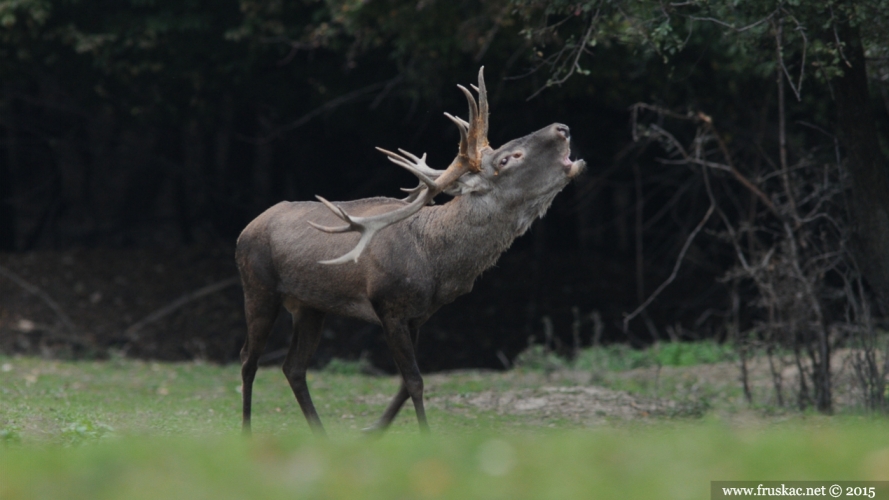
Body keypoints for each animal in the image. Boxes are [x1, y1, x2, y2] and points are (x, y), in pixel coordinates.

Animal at [232, 68, 588, 436]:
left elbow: (405, 384)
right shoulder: (389, 307)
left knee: (293, 367)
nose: (562, 127)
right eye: (507, 158)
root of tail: (245, 229)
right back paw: (245, 430)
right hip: (258, 287)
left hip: (310, 306)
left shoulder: (419, 315)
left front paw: (373, 430)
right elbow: (415, 382)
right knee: (248, 359)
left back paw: (321, 434)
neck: (437, 265)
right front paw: (423, 434)